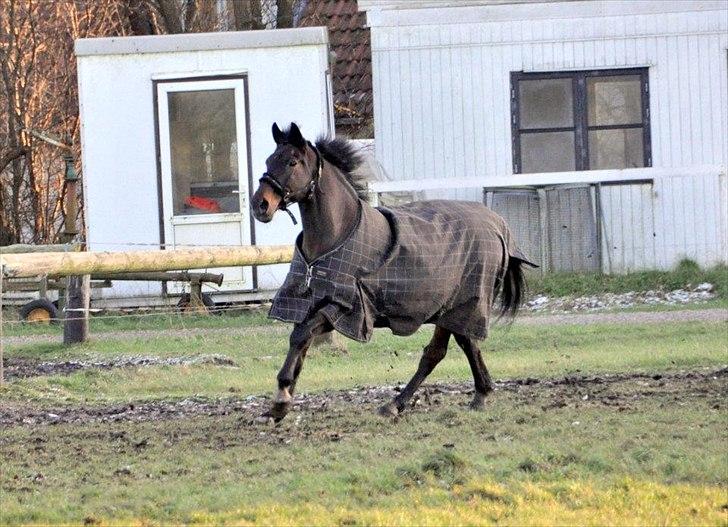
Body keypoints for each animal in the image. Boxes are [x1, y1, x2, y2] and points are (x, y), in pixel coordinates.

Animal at [250, 122, 536, 420]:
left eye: (292, 161)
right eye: (269, 160)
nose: (260, 204)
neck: (337, 236)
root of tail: (497, 224)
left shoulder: (342, 308)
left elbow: (301, 335)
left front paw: (282, 396)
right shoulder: (308, 302)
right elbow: (299, 341)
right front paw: (282, 400)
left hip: (460, 306)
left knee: (445, 350)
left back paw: (410, 402)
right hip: (449, 310)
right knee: (454, 347)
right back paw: (463, 395)